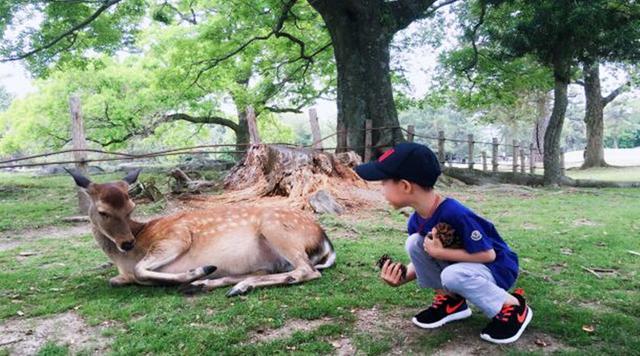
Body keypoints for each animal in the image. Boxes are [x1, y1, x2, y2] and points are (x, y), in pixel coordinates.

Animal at [64, 168, 336, 296]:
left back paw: (225, 283)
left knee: (307, 271)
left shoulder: (176, 236)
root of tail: (325, 242)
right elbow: (115, 280)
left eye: (131, 208)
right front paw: (197, 276)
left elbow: (141, 271)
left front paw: (195, 271)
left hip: (276, 228)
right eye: (103, 212)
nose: (127, 243)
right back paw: (208, 284)